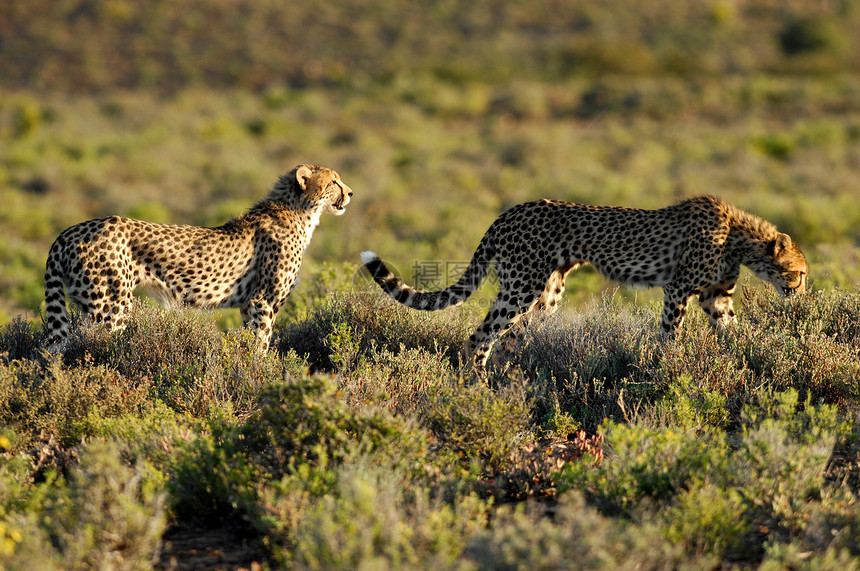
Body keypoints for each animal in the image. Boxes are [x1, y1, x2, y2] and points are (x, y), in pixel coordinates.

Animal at [42, 164, 352, 348]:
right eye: (333, 181)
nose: (350, 192)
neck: (300, 212)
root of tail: (70, 230)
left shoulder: (248, 304)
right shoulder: (263, 301)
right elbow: (261, 345)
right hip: (111, 306)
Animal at [362, 196, 808, 376]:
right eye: (800, 272)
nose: (803, 290)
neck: (739, 237)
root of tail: (510, 210)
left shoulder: (716, 296)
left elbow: (733, 330)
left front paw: (750, 355)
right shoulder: (678, 290)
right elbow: (670, 334)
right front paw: (667, 367)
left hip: (547, 294)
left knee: (510, 340)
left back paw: (512, 378)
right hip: (521, 287)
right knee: (480, 336)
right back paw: (476, 383)